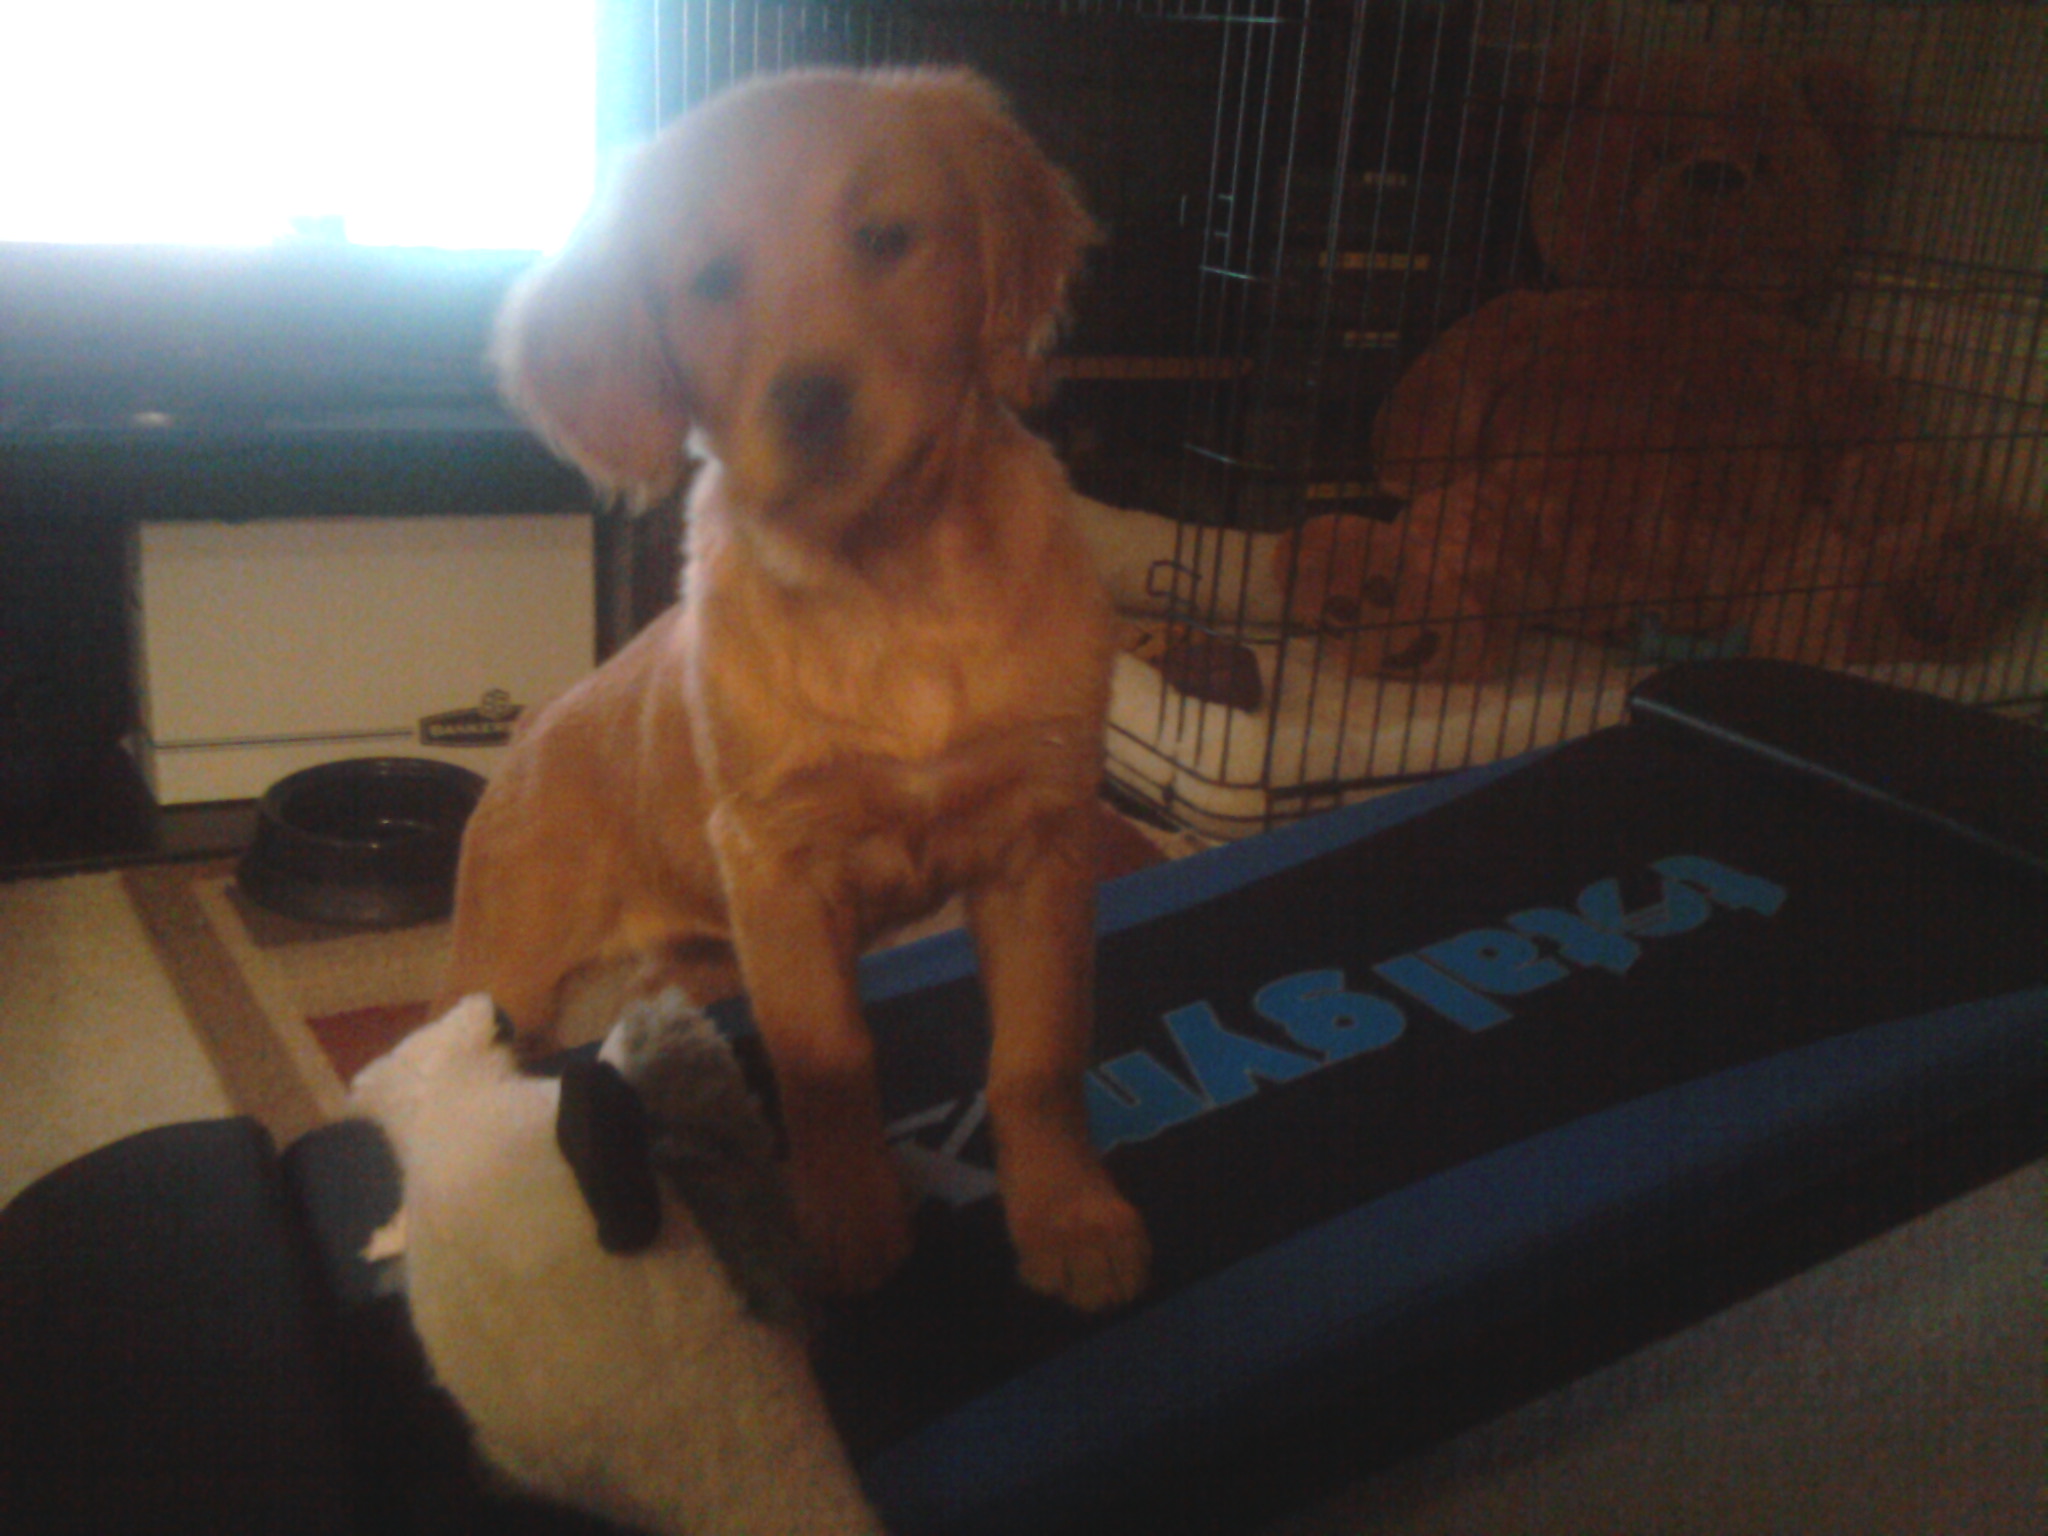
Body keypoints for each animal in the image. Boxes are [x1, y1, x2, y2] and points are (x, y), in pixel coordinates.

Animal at [446, 68, 1151, 1312]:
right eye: (708, 280)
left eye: (885, 240)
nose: (811, 403)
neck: (891, 581)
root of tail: (521, 737)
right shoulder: (775, 861)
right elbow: (827, 1058)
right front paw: (845, 1218)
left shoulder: (1041, 840)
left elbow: (1035, 1056)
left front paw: (1068, 1212)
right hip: (508, 972)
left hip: (701, 958)